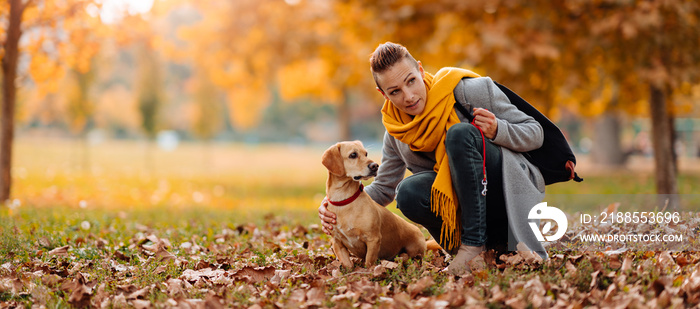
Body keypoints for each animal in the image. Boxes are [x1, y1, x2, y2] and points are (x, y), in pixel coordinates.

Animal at [322, 140, 426, 268]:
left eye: (366, 154)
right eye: (353, 155)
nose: (375, 166)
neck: (344, 201)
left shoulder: (373, 239)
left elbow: (369, 262)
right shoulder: (337, 242)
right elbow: (348, 264)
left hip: (414, 249)